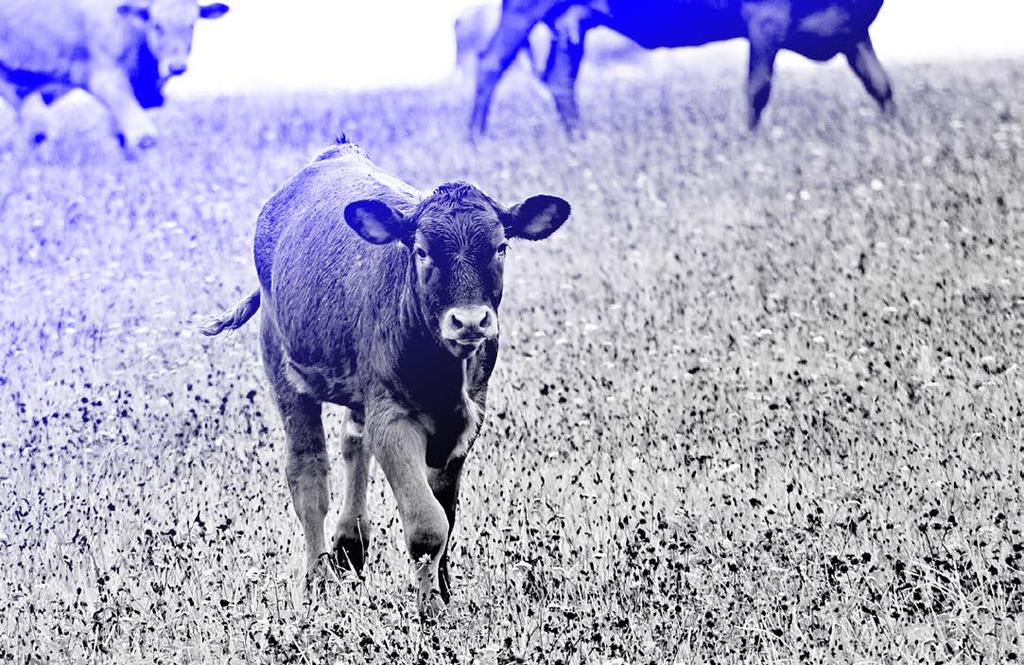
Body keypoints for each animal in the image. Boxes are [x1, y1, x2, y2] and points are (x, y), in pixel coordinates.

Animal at [0, 0, 228, 151]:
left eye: (192, 24)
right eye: (157, 25)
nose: (177, 66)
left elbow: (122, 137)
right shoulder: (108, 80)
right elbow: (143, 136)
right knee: (38, 130)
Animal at [199, 137, 569, 614]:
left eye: (501, 247)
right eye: (422, 251)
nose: (469, 321)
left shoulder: (468, 417)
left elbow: (447, 512)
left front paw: (443, 590)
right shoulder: (393, 418)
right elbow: (428, 525)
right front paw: (431, 610)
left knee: (353, 442)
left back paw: (350, 544)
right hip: (283, 367)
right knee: (308, 474)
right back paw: (317, 578)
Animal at [471, 0, 897, 137]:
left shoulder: (852, 30)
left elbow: (880, 84)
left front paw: (895, 131)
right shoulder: (765, 18)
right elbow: (758, 87)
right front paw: (750, 140)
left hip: (571, 21)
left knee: (561, 79)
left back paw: (580, 139)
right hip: (523, 8)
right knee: (490, 63)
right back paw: (476, 140)